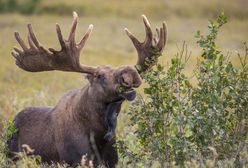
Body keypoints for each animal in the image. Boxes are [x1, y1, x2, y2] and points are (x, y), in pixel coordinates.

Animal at [6, 12, 168, 167]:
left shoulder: (112, 161)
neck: (99, 134)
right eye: (99, 75)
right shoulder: (73, 160)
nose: (130, 72)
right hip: (12, 156)